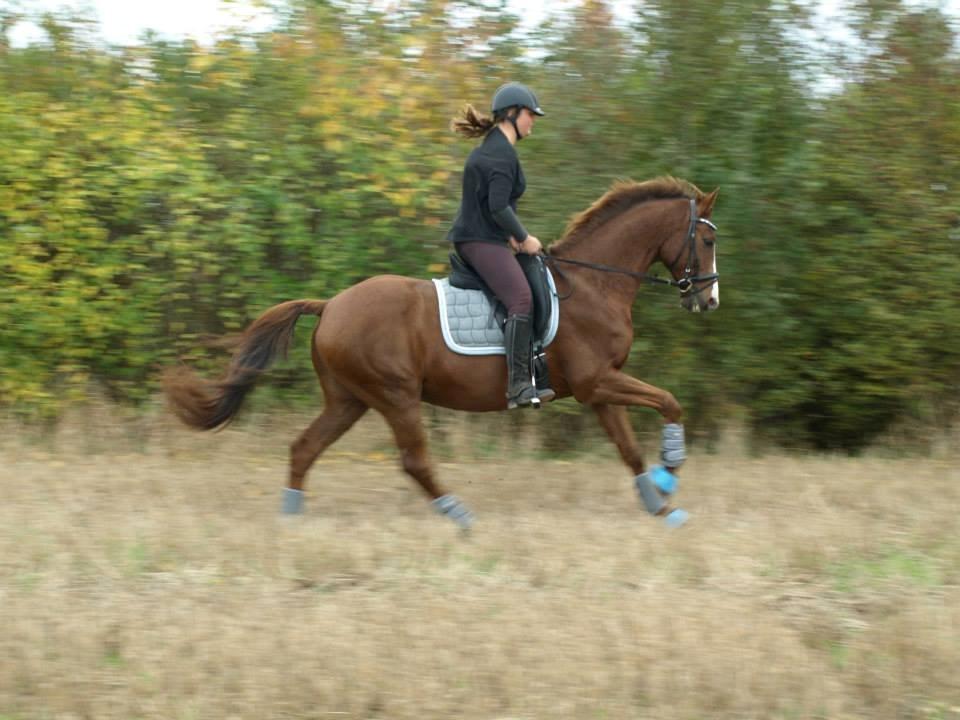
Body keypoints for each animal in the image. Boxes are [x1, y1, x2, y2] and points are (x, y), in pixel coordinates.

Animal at [167, 176, 720, 528]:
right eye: (709, 241)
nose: (708, 299)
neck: (592, 284)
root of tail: (330, 306)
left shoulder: (599, 388)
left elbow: (629, 449)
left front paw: (660, 506)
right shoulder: (596, 382)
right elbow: (670, 402)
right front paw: (670, 473)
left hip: (349, 400)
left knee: (304, 448)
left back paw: (289, 519)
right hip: (394, 396)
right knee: (414, 461)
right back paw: (458, 514)